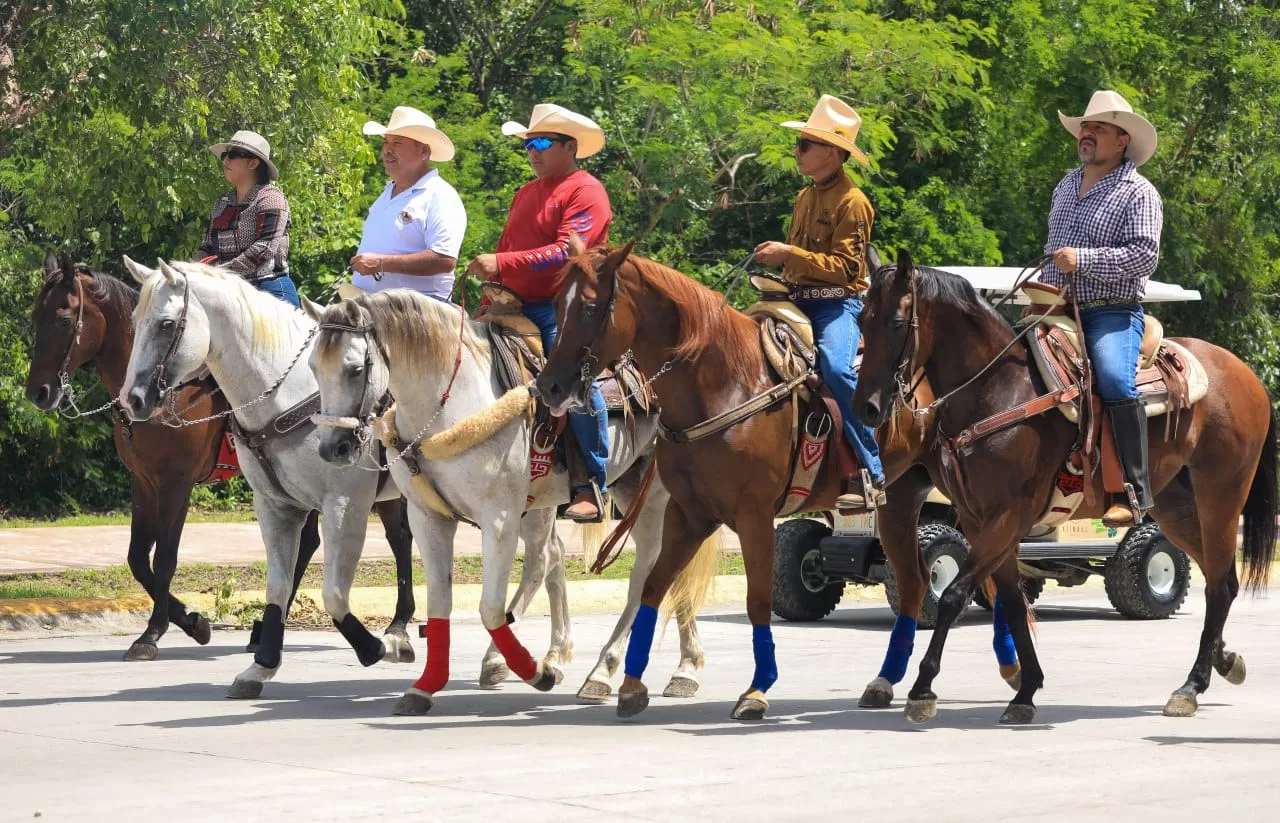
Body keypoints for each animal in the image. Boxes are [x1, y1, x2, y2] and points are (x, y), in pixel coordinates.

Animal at [24, 254, 417, 660]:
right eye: (36, 316)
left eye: (63, 319)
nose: (39, 392)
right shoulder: (144, 481)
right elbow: (137, 558)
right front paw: (191, 621)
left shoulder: (176, 483)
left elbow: (164, 559)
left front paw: (154, 632)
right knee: (311, 543)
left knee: (399, 538)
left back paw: (397, 628)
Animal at [113, 261, 560, 696]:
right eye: (134, 320)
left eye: (166, 324)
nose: (132, 399)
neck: (288, 395)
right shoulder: (274, 505)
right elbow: (276, 585)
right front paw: (262, 665)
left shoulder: (344, 504)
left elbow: (333, 590)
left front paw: (371, 647)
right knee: (541, 556)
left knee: (534, 559)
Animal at [304, 289, 716, 716]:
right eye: (314, 367)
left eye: (355, 369)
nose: (333, 448)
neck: (449, 404)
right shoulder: (429, 518)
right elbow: (440, 606)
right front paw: (425, 687)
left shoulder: (498, 519)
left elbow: (490, 606)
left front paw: (536, 673)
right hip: (593, 492)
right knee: (577, 561)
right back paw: (659, 667)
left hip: (653, 495)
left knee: (648, 570)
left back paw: (617, 670)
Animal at [532, 241, 1008, 716]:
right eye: (556, 305)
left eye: (591, 307)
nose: (549, 386)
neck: (723, 383)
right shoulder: (689, 514)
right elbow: (654, 587)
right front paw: (630, 684)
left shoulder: (754, 515)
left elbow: (757, 600)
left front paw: (756, 691)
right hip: (900, 503)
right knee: (913, 583)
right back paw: (885, 682)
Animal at [844, 254, 1274, 727]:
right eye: (861, 319)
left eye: (898, 322)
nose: (865, 407)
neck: (995, 393)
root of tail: (1245, 374)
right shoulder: (981, 522)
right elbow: (1012, 602)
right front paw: (1026, 690)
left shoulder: (1006, 517)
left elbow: (955, 594)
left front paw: (923, 690)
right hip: (1175, 508)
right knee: (1222, 579)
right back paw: (1223, 661)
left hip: (1220, 496)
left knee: (1217, 584)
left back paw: (1191, 686)